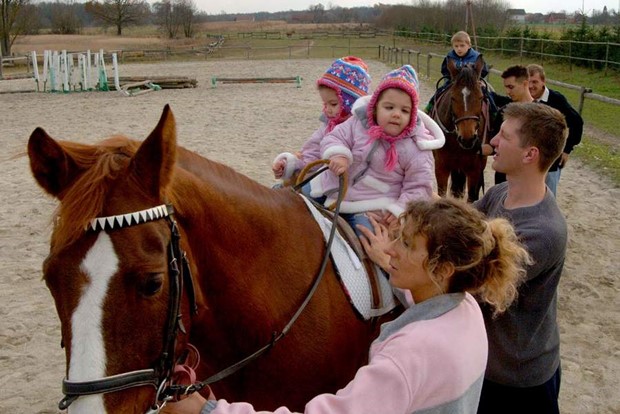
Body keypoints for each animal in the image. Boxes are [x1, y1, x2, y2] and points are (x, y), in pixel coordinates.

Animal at [432, 54, 490, 203]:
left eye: (481, 97)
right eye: (452, 97)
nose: (467, 138)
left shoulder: (475, 171)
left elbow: (471, 199)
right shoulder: (441, 167)